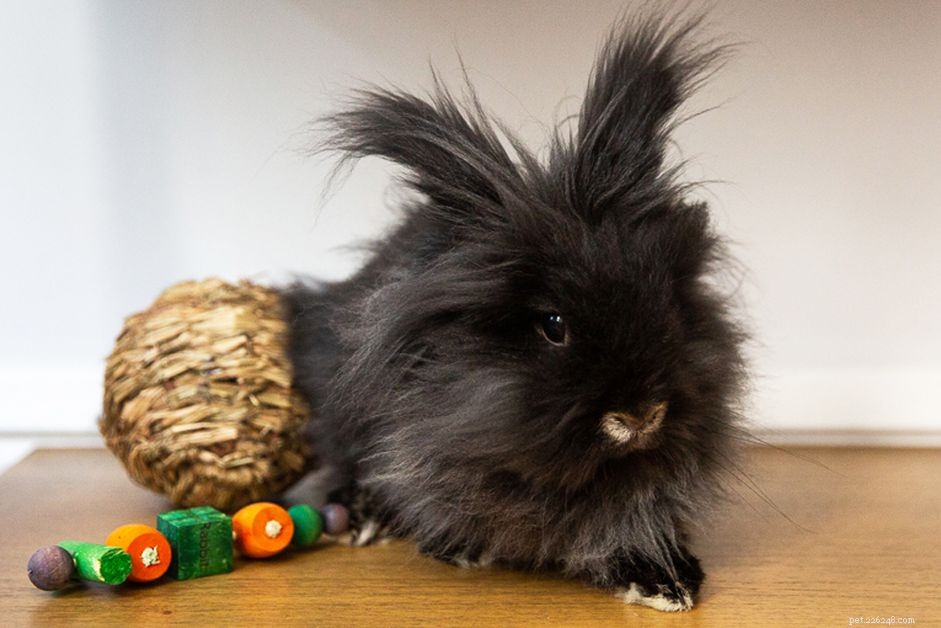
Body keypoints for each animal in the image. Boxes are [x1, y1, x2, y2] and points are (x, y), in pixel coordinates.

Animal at [286, 11, 747, 613]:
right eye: (553, 326)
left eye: (669, 303)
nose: (640, 416)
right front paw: (459, 547)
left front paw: (668, 580)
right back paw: (365, 520)